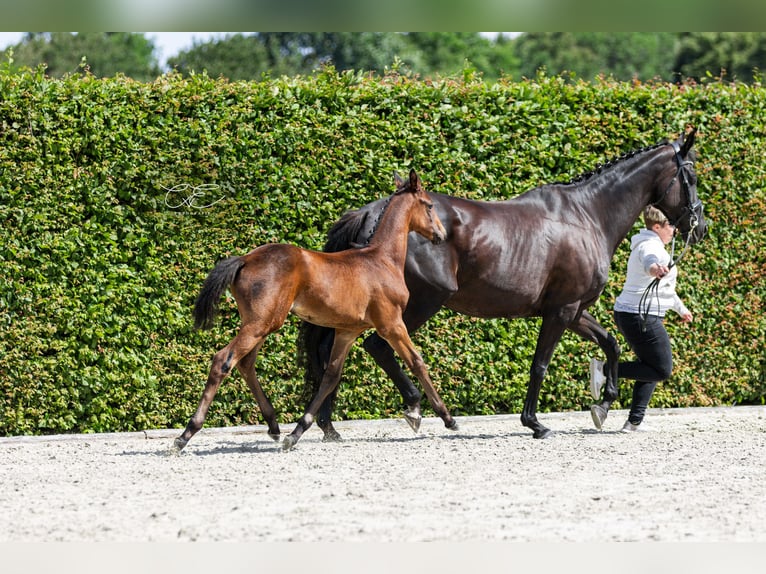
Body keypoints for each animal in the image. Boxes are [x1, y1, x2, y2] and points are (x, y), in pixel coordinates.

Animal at [177, 171, 452, 454]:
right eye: (430, 205)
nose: (441, 235)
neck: (381, 259)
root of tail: (245, 259)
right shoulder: (392, 324)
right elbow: (417, 362)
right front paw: (443, 417)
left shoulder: (347, 331)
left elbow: (331, 376)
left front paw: (298, 431)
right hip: (261, 324)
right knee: (223, 361)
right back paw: (186, 434)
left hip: (260, 323)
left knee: (245, 363)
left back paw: (274, 427)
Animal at [300, 128, 708, 438]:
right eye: (690, 177)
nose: (700, 226)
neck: (587, 215)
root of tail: (371, 213)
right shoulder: (561, 312)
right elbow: (540, 364)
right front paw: (535, 423)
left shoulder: (574, 311)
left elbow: (611, 344)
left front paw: (603, 405)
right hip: (421, 302)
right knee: (378, 348)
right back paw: (417, 410)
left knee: (336, 352)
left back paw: (328, 426)